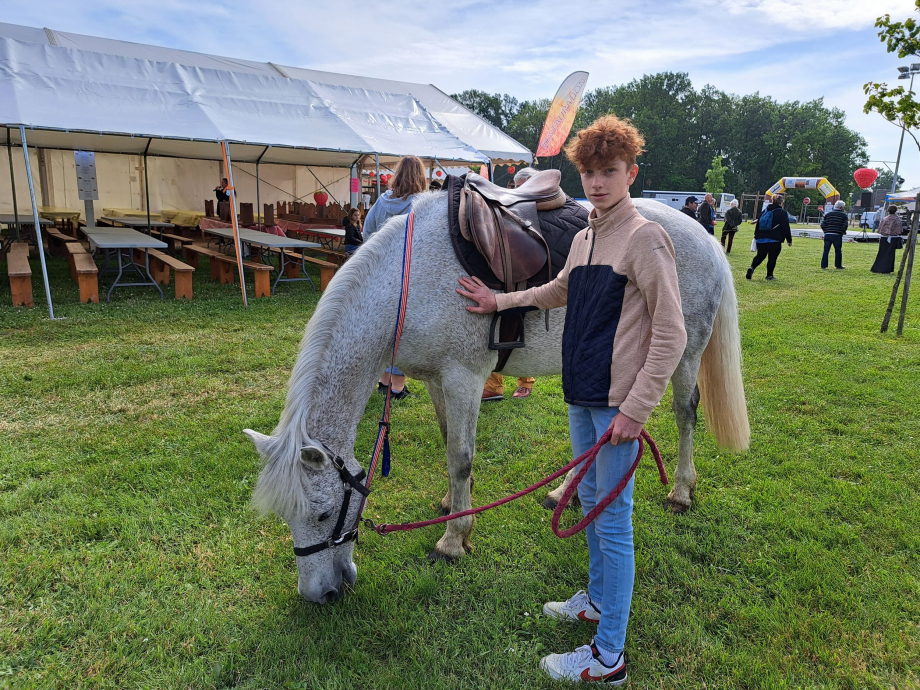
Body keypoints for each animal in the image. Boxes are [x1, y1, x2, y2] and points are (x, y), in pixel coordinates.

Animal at [243, 191, 748, 600]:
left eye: (325, 514)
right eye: (287, 518)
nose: (319, 595)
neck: (408, 283)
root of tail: (705, 238)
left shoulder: (464, 378)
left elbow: (460, 458)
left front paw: (453, 539)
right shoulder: (437, 380)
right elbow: (449, 442)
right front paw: (452, 505)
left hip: (682, 353)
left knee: (684, 414)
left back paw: (681, 490)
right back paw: (566, 493)